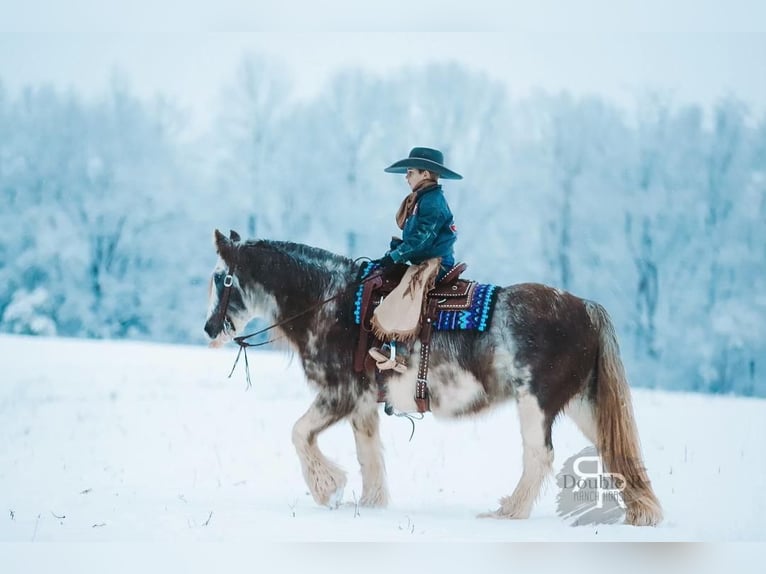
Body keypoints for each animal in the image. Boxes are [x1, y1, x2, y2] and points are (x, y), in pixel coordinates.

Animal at [206, 232, 664, 528]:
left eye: (220, 277)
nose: (210, 328)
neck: (332, 303)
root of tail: (585, 307)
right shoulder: (363, 403)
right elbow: (368, 455)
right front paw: (370, 505)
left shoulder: (341, 393)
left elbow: (300, 433)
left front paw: (327, 488)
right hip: (585, 403)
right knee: (614, 451)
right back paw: (641, 512)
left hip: (536, 404)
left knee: (539, 457)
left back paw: (508, 512)